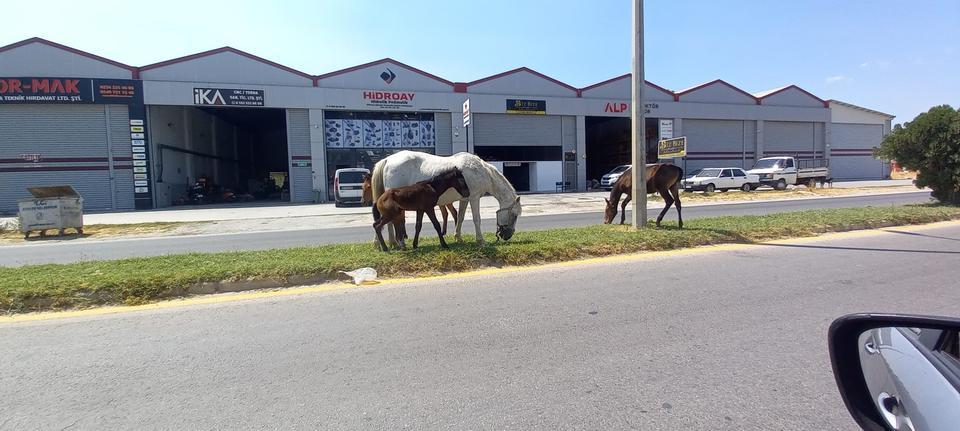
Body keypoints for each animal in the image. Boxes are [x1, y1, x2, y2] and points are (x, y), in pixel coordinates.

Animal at [370, 151, 520, 246]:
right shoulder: (474, 198)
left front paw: (458, 237)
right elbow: (476, 219)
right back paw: (392, 243)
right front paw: (481, 241)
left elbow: (460, 217)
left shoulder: (465, 199)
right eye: (515, 215)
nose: (507, 235)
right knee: (389, 222)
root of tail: (388, 160)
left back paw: (390, 243)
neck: (481, 171)